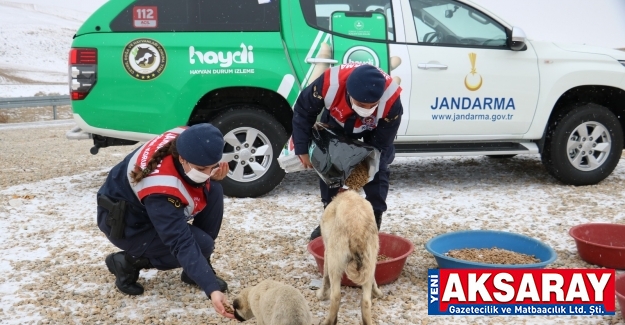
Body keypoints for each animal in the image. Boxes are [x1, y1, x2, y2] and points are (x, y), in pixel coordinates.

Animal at [316, 189, 380, 324]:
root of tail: (357, 231)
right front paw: (377, 292)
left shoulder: (327, 252)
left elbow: (325, 278)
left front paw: (321, 295)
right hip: (370, 262)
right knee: (366, 302)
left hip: (335, 262)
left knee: (336, 297)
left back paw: (329, 321)